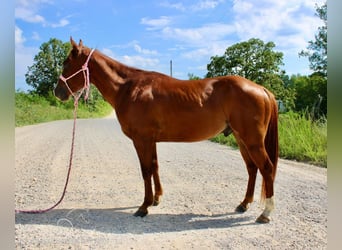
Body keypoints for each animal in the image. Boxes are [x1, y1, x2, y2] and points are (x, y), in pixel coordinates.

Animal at [54, 38, 278, 224]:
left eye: (66, 63)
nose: (58, 92)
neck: (130, 87)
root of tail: (261, 89)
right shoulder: (150, 140)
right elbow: (155, 166)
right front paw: (156, 198)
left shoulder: (141, 139)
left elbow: (146, 170)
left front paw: (143, 207)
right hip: (241, 139)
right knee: (252, 168)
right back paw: (244, 204)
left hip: (252, 141)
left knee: (266, 168)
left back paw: (265, 213)